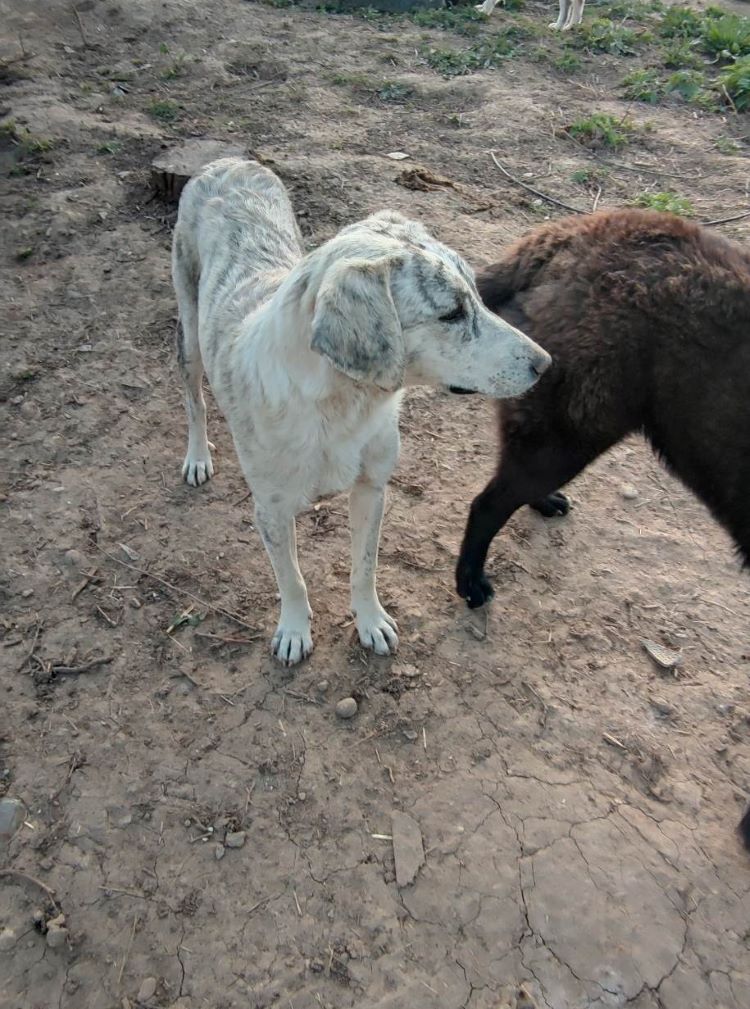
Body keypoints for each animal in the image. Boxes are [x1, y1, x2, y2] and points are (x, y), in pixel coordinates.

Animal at [174, 155, 553, 661]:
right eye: (451, 313)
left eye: (477, 294)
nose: (545, 364)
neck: (340, 407)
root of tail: (229, 160)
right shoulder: (270, 511)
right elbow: (291, 580)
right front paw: (294, 630)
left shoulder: (373, 489)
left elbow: (365, 567)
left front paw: (370, 622)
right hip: (190, 335)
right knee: (194, 400)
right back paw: (198, 457)